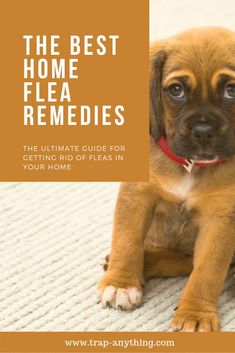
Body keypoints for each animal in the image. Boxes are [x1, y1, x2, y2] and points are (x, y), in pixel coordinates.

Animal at [96, 27, 235, 330]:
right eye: (176, 90)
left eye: (231, 90)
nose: (203, 132)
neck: (190, 166)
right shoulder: (136, 196)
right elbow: (126, 241)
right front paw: (121, 283)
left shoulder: (220, 219)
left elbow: (206, 272)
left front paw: (195, 313)